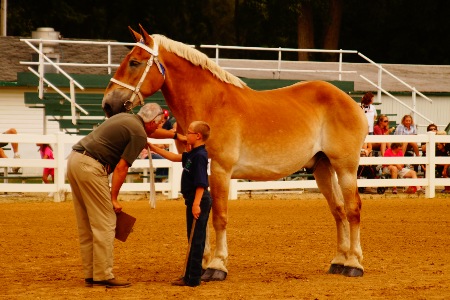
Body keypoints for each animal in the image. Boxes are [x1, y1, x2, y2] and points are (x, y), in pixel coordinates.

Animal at [103, 25, 370, 278]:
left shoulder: (221, 169)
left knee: (353, 209)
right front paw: (200, 263)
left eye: (134, 62)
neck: (210, 104)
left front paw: (217, 266)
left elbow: (219, 216)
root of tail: (349, 100)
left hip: (345, 167)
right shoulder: (199, 170)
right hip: (322, 167)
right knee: (338, 210)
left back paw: (354, 264)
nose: (108, 104)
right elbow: (200, 212)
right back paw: (339, 261)